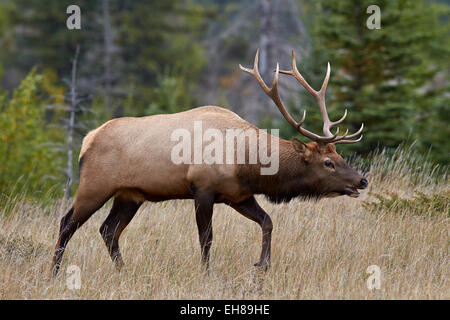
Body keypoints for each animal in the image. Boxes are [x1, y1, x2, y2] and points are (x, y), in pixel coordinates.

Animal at [50, 48, 366, 276]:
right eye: (328, 162)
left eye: (339, 156)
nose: (361, 180)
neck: (247, 163)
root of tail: (87, 139)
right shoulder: (202, 188)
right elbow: (207, 238)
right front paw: (206, 273)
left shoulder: (239, 194)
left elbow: (267, 221)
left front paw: (262, 265)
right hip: (95, 185)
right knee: (67, 223)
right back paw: (53, 272)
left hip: (130, 195)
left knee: (108, 230)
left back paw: (123, 272)